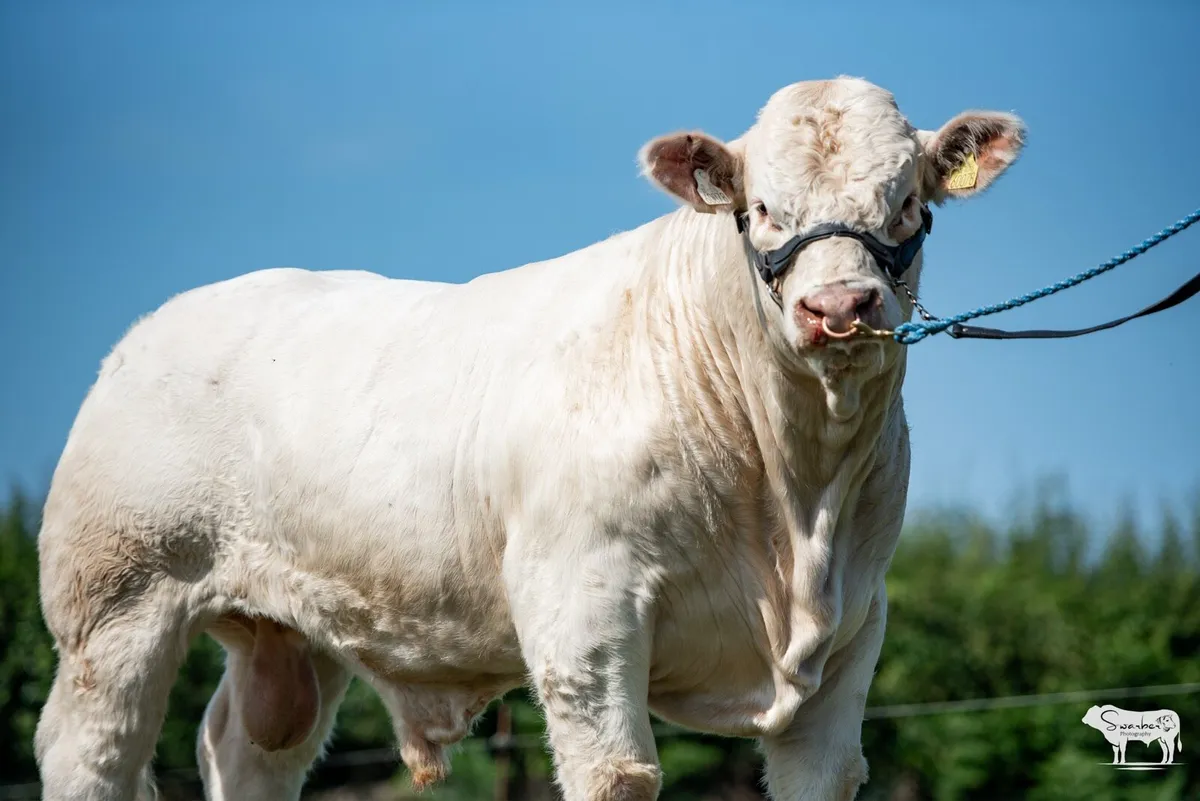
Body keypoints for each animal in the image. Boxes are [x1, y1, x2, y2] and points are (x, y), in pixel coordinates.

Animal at [33, 76, 1025, 801]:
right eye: (763, 209)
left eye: (908, 204)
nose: (840, 306)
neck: (796, 501)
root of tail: (152, 330)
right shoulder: (584, 609)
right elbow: (618, 773)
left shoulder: (855, 630)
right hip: (115, 603)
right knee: (92, 753)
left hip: (288, 632)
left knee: (247, 748)